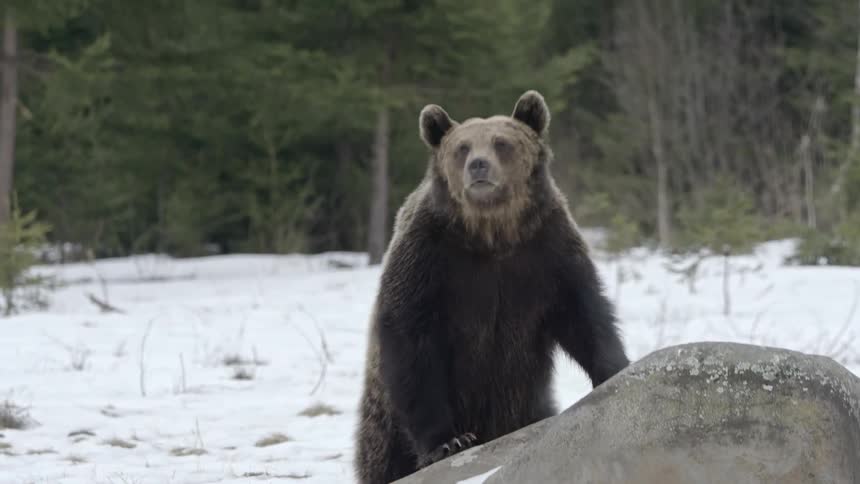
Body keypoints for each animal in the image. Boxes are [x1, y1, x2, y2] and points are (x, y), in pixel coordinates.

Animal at [354, 90, 630, 484]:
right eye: (462, 148)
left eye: (502, 143)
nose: (479, 166)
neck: (492, 233)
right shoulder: (429, 258)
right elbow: (411, 336)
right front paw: (449, 441)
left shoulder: (547, 248)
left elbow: (583, 312)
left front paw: (615, 369)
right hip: (383, 426)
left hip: (525, 400)